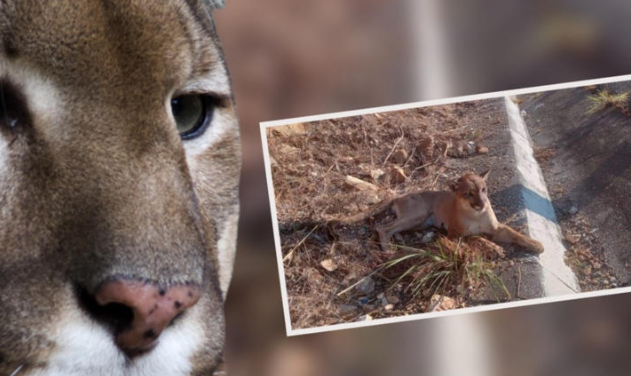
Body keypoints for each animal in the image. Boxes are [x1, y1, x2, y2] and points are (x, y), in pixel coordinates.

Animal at [334, 171, 544, 254]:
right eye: (468, 194)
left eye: (483, 189)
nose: (482, 203)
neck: (476, 214)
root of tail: (400, 194)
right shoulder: (454, 234)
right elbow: (475, 237)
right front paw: (494, 247)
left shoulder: (497, 228)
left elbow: (515, 234)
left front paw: (536, 244)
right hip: (417, 214)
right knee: (382, 227)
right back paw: (388, 249)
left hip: (420, 221)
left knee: (390, 227)